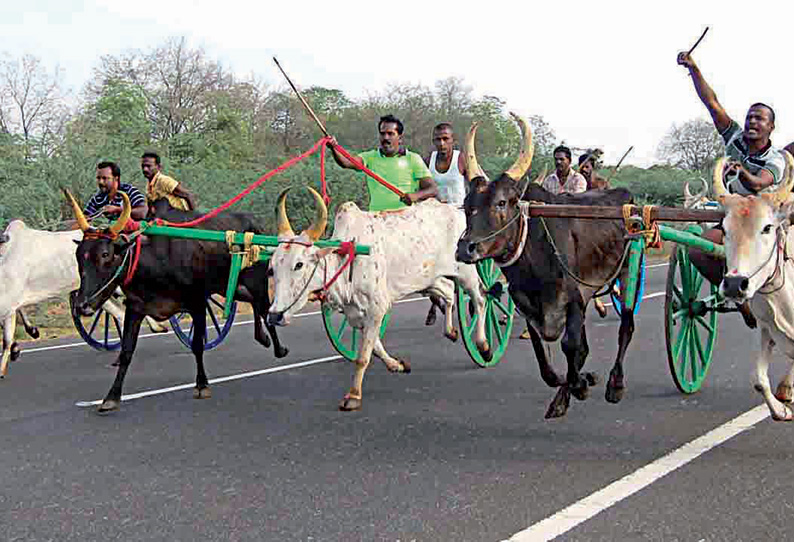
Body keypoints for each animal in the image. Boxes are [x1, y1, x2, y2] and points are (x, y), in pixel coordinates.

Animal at [0, 219, 167, 376]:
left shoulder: (8, 305)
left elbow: (7, 340)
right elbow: (9, 335)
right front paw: (21, 343)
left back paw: (158, 326)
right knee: (121, 313)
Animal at [70, 200, 288, 416]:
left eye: (105, 254)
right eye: (79, 257)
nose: (82, 305)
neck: (155, 261)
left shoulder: (197, 303)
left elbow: (197, 345)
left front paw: (202, 385)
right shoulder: (135, 308)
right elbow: (126, 352)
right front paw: (111, 398)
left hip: (256, 281)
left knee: (265, 309)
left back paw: (278, 347)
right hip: (234, 288)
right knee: (256, 306)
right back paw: (263, 338)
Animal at [266, 188, 488, 412]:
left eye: (299, 264)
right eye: (272, 268)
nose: (274, 316)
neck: (349, 257)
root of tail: (455, 210)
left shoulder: (377, 308)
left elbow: (363, 356)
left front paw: (353, 395)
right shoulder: (355, 314)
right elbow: (375, 348)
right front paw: (397, 365)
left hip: (466, 271)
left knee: (481, 299)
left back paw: (483, 347)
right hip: (430, 279)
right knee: (449, 292)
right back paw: (450, 331)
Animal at [716, 151, 794, 422]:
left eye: (767, 227)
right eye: (724, 229)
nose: (734, 284)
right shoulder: (766, 327)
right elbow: (759, 380)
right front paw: (781, 410)